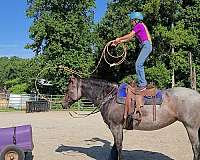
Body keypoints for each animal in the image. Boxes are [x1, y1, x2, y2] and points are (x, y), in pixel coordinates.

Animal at [63, 76, 200, 160]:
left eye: (68, 89)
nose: (63, 104)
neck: (110, 97)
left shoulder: (116, 126)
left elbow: (118, 146)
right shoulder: (116, 128)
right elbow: (114, 147)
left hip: (191, 127)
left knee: (195, 147)